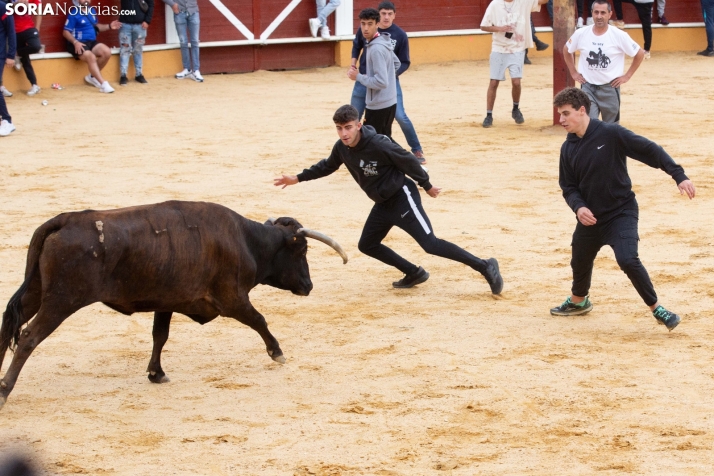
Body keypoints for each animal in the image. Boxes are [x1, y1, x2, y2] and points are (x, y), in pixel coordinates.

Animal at [0, 201, 344, 410]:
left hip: (36, 292)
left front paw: (156, 373)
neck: (247, 240)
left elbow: (159, 336)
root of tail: (66, 219)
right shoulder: (232, 299)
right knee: (28, 338)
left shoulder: (166, 301)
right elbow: (259, 320)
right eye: (302, 250)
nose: (309, 286)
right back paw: (4, 390)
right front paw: (277, 352)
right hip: (61, 300)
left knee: (7, 328)